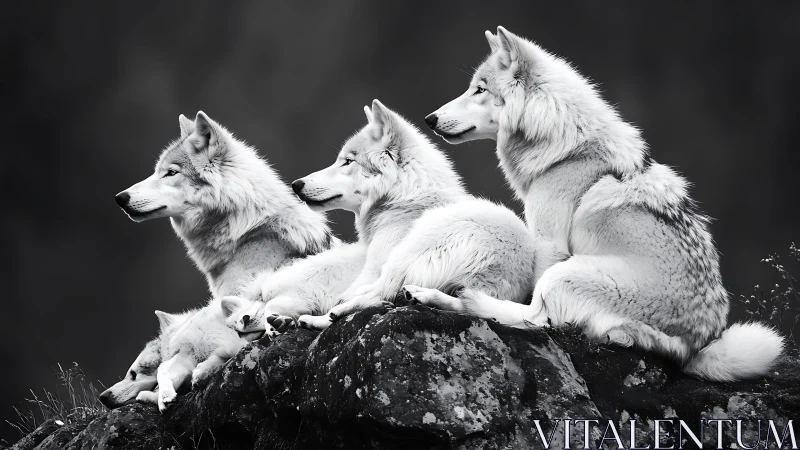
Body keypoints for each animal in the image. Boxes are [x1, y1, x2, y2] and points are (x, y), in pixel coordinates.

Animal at [290, 100, 536, 331]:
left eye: (348, 161)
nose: (296, 184)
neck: (403, 198)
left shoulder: (375, 265)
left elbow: (355, 293)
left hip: (409, 249)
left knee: (378, 294)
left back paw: (323, 317)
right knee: (465, 303)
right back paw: (423, 297)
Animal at [424, 26, 783, 381]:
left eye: (480, 90)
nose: (429, 118)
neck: (565, 146)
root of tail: (693, 349)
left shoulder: (548, 243)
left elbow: (534, 303)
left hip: (567, 273)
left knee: (536, 319)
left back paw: (442, 297)